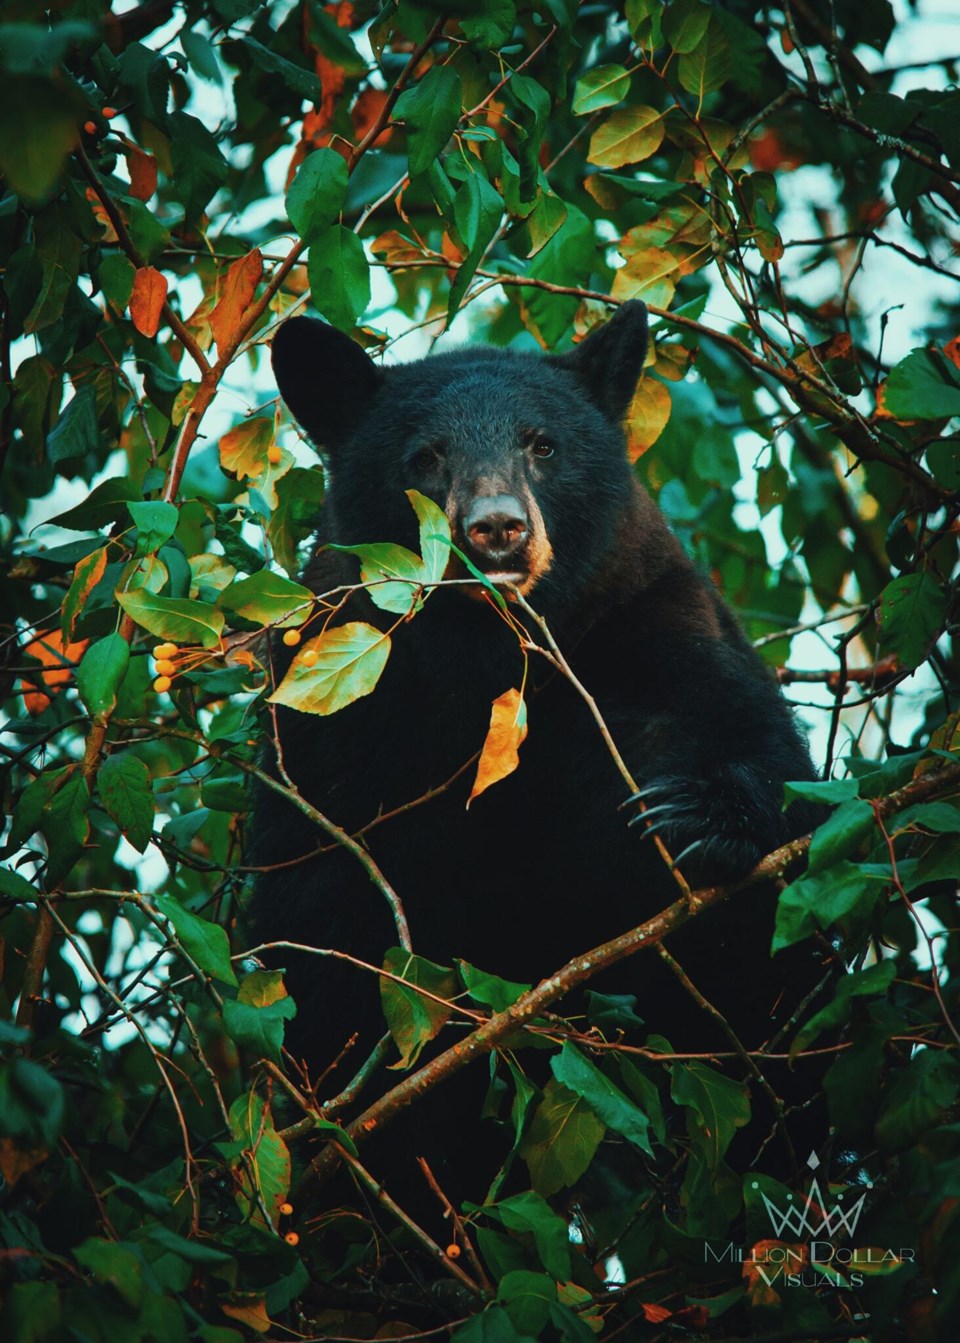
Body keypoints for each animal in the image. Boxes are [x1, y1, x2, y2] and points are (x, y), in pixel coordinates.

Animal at [248, 304, 827, 1230]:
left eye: (543, 444)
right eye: (425, 455)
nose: (496, 527)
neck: (493, 668)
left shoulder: (647, 625)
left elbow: (763, 758)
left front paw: (694, 817)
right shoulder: (333, 713)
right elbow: (318, 910)